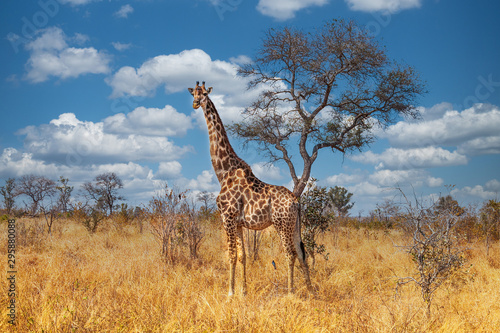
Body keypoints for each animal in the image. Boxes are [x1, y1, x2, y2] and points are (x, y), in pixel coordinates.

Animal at [188, 81, 312, 294]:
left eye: (204, 93)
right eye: (193, 94)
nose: (196, 103)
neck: (223, 172)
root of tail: (296, 201)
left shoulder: (227, 218)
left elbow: (230, 256)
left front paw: (229, 293)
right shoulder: (238, 223)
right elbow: (242, 256)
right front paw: (243, 292)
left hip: (282, 224)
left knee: (290, 253)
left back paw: (291, 292)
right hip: (294, 225)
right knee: (301, 252)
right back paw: (312, 291)